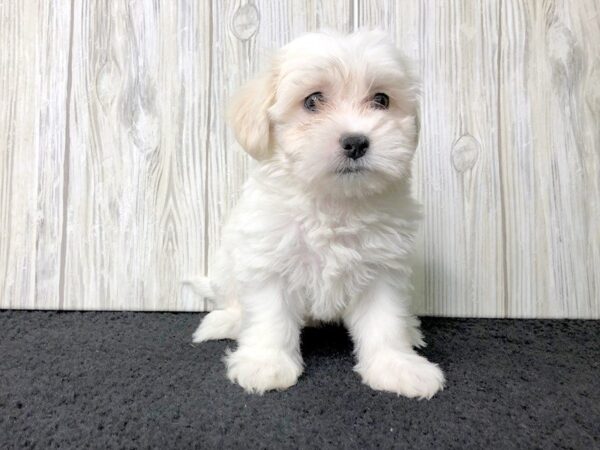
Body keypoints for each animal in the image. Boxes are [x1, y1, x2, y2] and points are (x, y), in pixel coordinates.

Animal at [188, 29, 446, 400]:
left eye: (381, 100)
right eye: (312, 102)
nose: (356, 142)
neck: (333, 202)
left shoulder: (383, 269)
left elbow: (385, 322)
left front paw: (397, 366)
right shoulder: (269, 260)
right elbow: (270, 316)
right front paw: (266, 363)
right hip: (227, 264)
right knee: (236, 302)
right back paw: (227, 322)